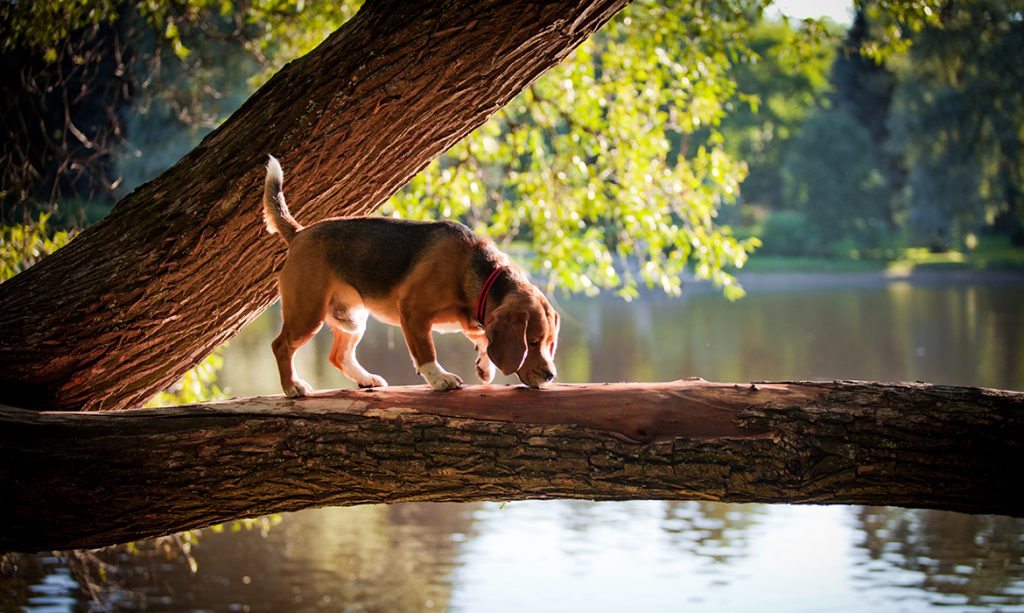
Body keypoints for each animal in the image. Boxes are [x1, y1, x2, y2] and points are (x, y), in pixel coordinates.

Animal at [256, 155, 561, 395]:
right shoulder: (413, 312)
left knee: (339, 355)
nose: (551, 375)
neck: (476, 269)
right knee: (280, 345)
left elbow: (483, 339)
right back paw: (292, 387)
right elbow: (426, 353)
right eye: (532, 342)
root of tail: (299, 233)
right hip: (308, 314)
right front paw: (440, 379)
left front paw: (485, 366)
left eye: (549, 343)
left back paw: (366, 379)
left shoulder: (474, 319)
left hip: (352, 319)